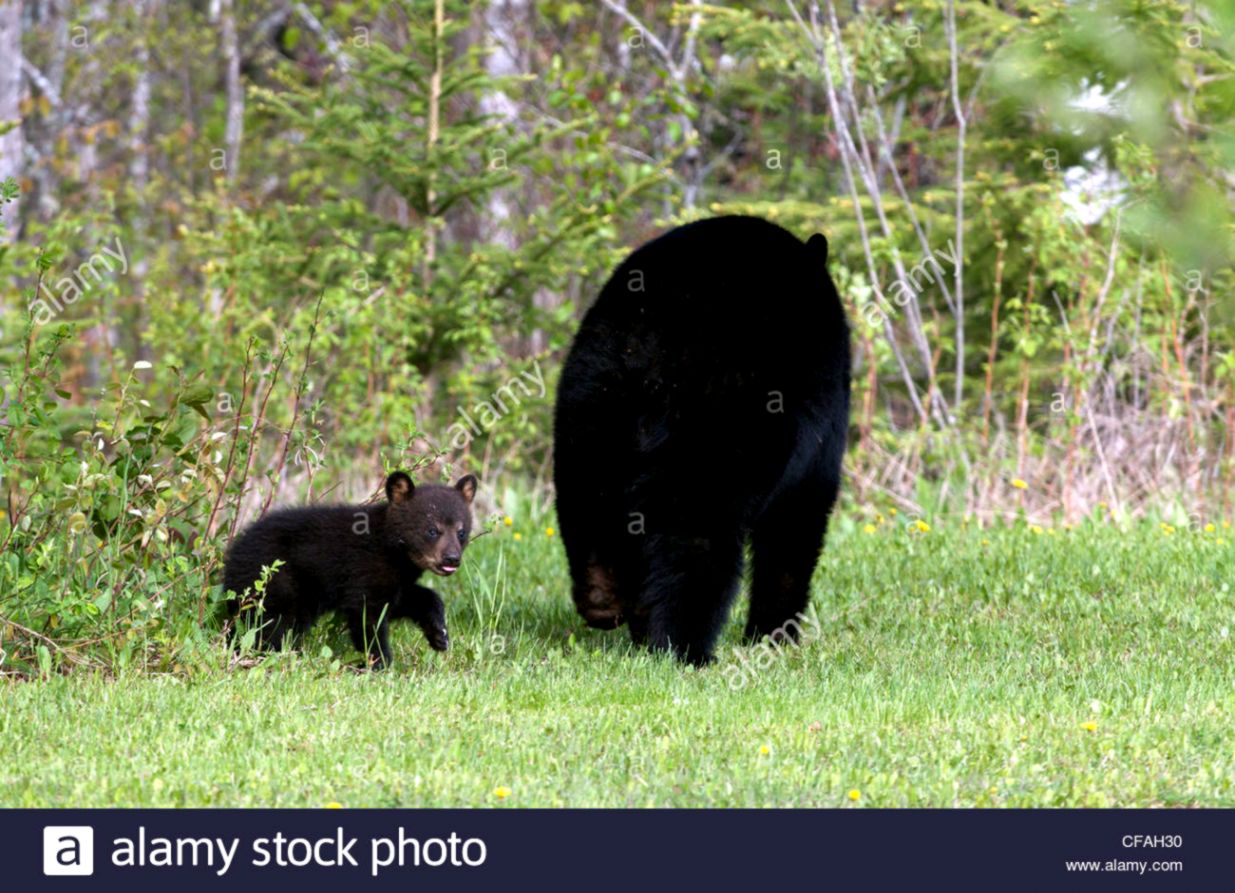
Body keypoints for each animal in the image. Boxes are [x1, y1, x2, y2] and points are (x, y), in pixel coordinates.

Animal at [222, 471, 476, 666]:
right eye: (432, 530)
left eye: (461, 532)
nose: (452, 559)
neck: (393, 550)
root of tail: (233, 555)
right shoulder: (365, 567)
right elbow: (367, 616)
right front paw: (379, 661)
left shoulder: (395, 578)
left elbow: (407, 599)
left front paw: (439, 634)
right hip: (277, 581)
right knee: (270, 623)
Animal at [553, 214, 849, 662]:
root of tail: (646, 335)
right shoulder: (819, 441)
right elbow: (795, 526)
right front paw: (774, 635)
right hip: (719, 425)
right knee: (696, 531)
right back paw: (687, 648)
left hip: (589, 400)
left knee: (586, 497)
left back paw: (604, 600)